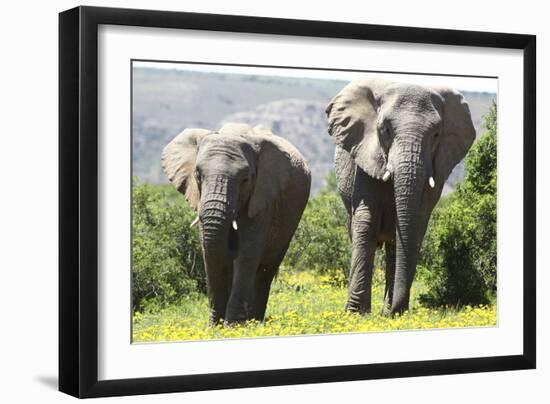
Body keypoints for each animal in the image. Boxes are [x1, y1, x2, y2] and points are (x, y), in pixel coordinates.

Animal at [162, 123, 312, 326]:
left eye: (245, 179)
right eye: (197, 175)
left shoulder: (262, 199)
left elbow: (246, 253)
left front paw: (233, 326)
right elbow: (209, 253)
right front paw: (215, 326)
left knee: (266, 268)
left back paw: (255, 320)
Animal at [326, 76, 476, 316]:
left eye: (436, 134)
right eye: (385, 129)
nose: (396, 311)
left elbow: (414, 227)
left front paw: (391, 314)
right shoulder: (366, 156)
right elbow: (366, 222)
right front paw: (355, 314)